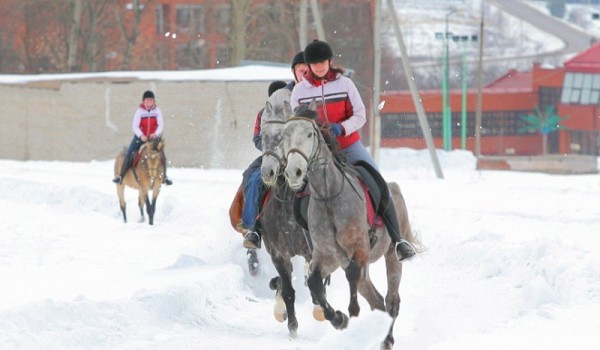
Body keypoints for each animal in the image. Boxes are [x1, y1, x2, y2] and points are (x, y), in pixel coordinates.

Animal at [258, 87, 326, 336]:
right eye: (262, 136)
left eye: (280, 137)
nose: (268, 172)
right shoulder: (279, 254)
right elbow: (287, 290)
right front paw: (291, 326)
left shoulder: (311, 250)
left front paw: (319, 310)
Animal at [280, 104, 418, 350]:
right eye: (284, 135)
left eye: (310, 134)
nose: (293, 172)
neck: (329, 196)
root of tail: (394, 187)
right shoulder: (327, 255)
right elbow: (314, 282)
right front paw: (339, 319)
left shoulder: (359, 247)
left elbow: (352, 275)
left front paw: (351, 313)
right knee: (376, 298)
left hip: (392, 255)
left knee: (392, 299)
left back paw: (387, 339)